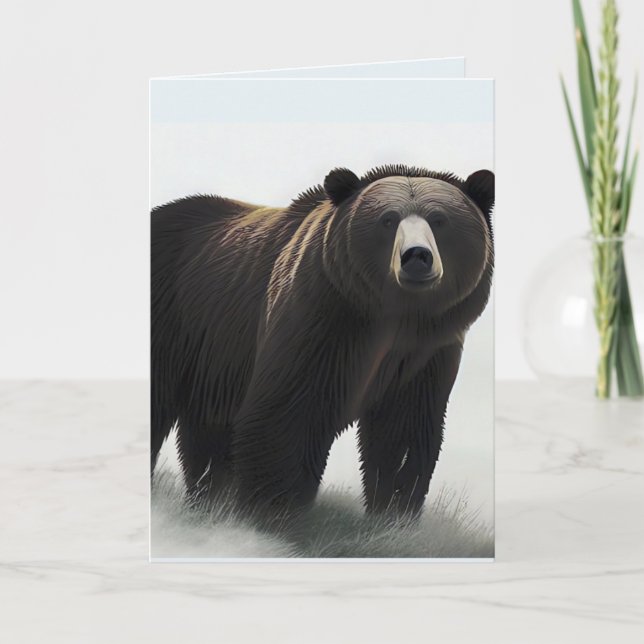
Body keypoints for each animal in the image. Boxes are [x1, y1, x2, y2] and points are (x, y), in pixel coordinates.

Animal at [151, 164, 494, 518]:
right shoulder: (319, 321)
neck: (392, 317)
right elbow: (289, 413)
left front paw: (393, 512)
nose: (416, 256)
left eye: (440, 219)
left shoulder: (425, 352)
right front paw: (275, 510)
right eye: (387, 220)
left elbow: (402, 429)